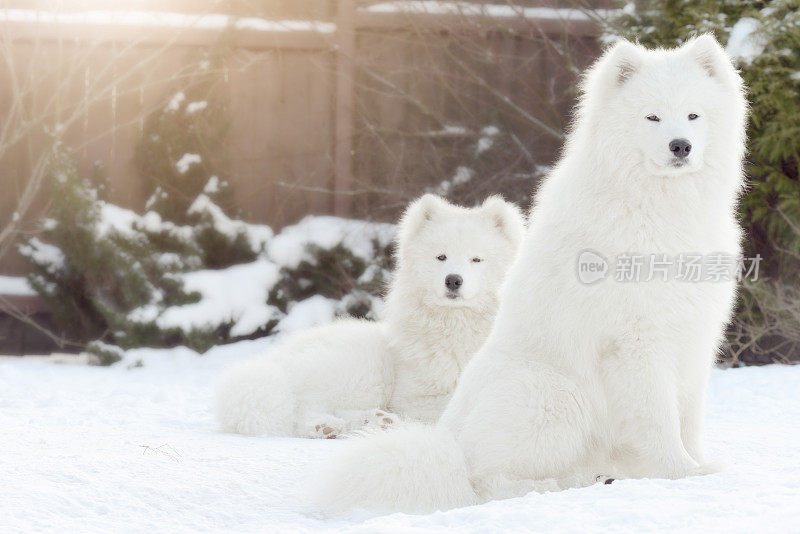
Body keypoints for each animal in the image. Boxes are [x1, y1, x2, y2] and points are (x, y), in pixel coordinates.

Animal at [214, 196, 524, 440]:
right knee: (301, 410)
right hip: (360, 370)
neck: (458, 327)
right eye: (441, 257)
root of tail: (272, 361)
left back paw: (373, 421)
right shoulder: (418, 398)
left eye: (477, 259)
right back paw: (330, 426)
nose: (453, 280)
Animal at [314, 34, 752, 516]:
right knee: (486, 484)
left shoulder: (694, 336)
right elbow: (660, 419)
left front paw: (699, 464)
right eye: (652, 116)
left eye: (694, 115)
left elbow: (689, 417)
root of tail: (450, 446)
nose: (680, 145)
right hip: (555, 397)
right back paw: (554, 487)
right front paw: (681, 473)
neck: (662, 206)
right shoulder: (639, 343)